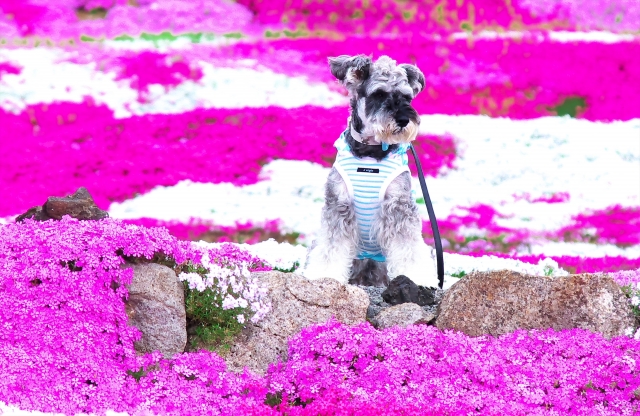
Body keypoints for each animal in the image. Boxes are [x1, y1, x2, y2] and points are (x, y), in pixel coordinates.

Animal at [302, 54, 440, 290]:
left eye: (407, 97)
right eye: (379, 94)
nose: (404, 120)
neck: (371, 152)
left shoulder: (399, 207)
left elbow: (409, 247)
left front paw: (418, 276)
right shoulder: (338, 205)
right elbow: (331, 246)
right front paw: (324, 275)